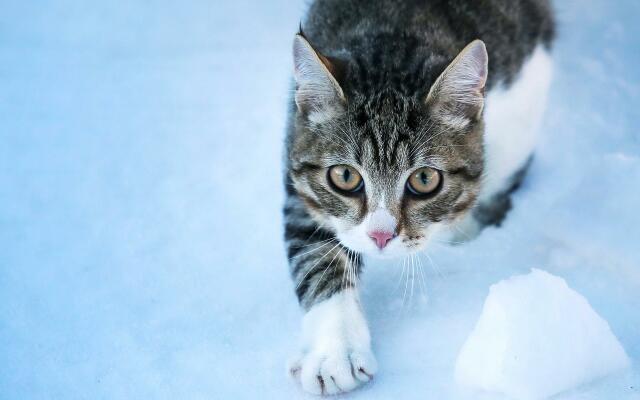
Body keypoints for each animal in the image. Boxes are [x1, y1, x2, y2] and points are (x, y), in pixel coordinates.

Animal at [282, 0, 552, 394]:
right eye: (345, 177)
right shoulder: (298, 153)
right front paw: (336, 352)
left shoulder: (527, 82)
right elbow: (315, 250)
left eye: (424, 179)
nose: (381, 236)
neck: (396, 33)